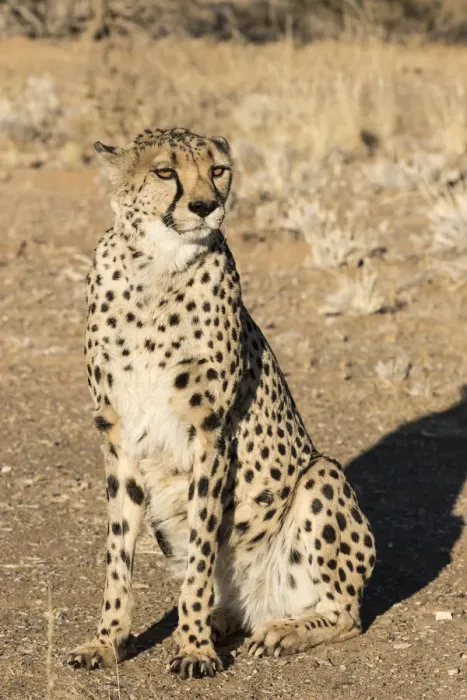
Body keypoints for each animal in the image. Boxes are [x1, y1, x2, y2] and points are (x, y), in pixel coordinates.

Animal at [67, 127, 376, 680]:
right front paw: (107, 640)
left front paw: (192, 648)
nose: (206, 206)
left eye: (218, 170)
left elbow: (203, 545)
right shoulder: (118, 434)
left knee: (346, 612)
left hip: (323, 475)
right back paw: (220, 621)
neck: (156, 267)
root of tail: (256, 604)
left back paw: (280, 631)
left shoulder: (210, 431)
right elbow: (118, 551)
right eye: (164, 172)